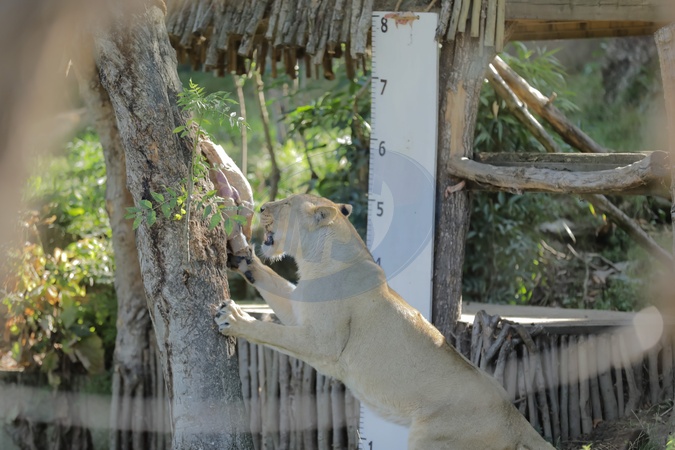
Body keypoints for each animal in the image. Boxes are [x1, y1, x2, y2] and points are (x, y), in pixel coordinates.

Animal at [215, 194, 555, 450]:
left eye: (285, 203)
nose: (261, 207)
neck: (316, 260)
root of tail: (514, 418)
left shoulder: (324, 345)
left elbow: (270, 332)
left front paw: (234, 317)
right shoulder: (299, 308)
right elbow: (269, 280)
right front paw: (240, 255)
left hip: (431, 439)